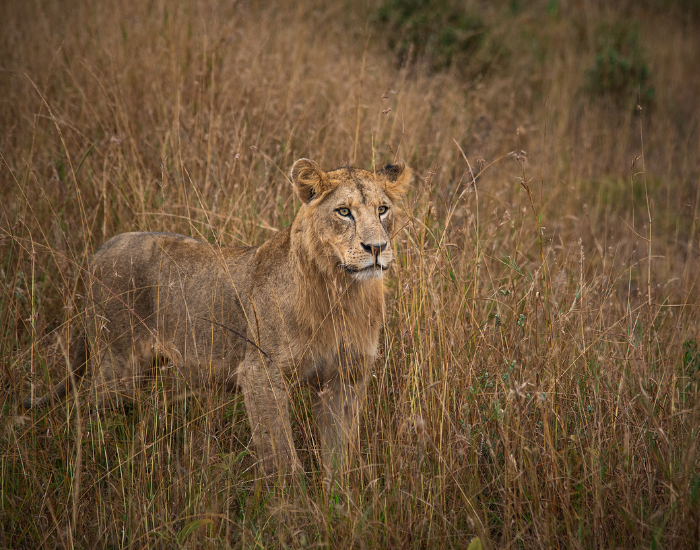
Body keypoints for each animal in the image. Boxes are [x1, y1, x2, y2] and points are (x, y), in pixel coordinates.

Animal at [24, 158, 412, 476]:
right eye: (344, 212)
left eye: (382, 210)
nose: (376, 248)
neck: (342, 293)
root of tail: (100, 250)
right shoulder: (260, 373)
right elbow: (281, 455)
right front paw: (293, 509)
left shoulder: (345, 378)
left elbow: (339, 456)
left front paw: (337, 504)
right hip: (116, 366)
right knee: (86, 413)